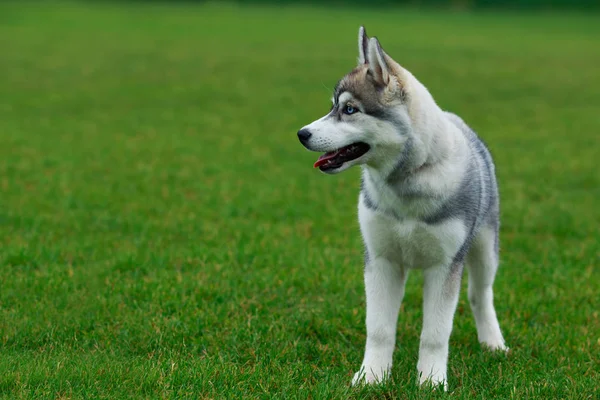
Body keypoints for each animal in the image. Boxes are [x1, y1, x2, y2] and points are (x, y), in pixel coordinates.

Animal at [296, 26, 506, 390]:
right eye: (333, 107)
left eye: (350, 110)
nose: (301, 134)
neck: (406, 181)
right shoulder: (381, 260)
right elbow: (379, 329)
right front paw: (371, 377)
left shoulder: (444, 264)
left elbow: (436, 333)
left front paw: (432, 382)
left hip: (484, 249)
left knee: (480, 294)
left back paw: (493, 343)